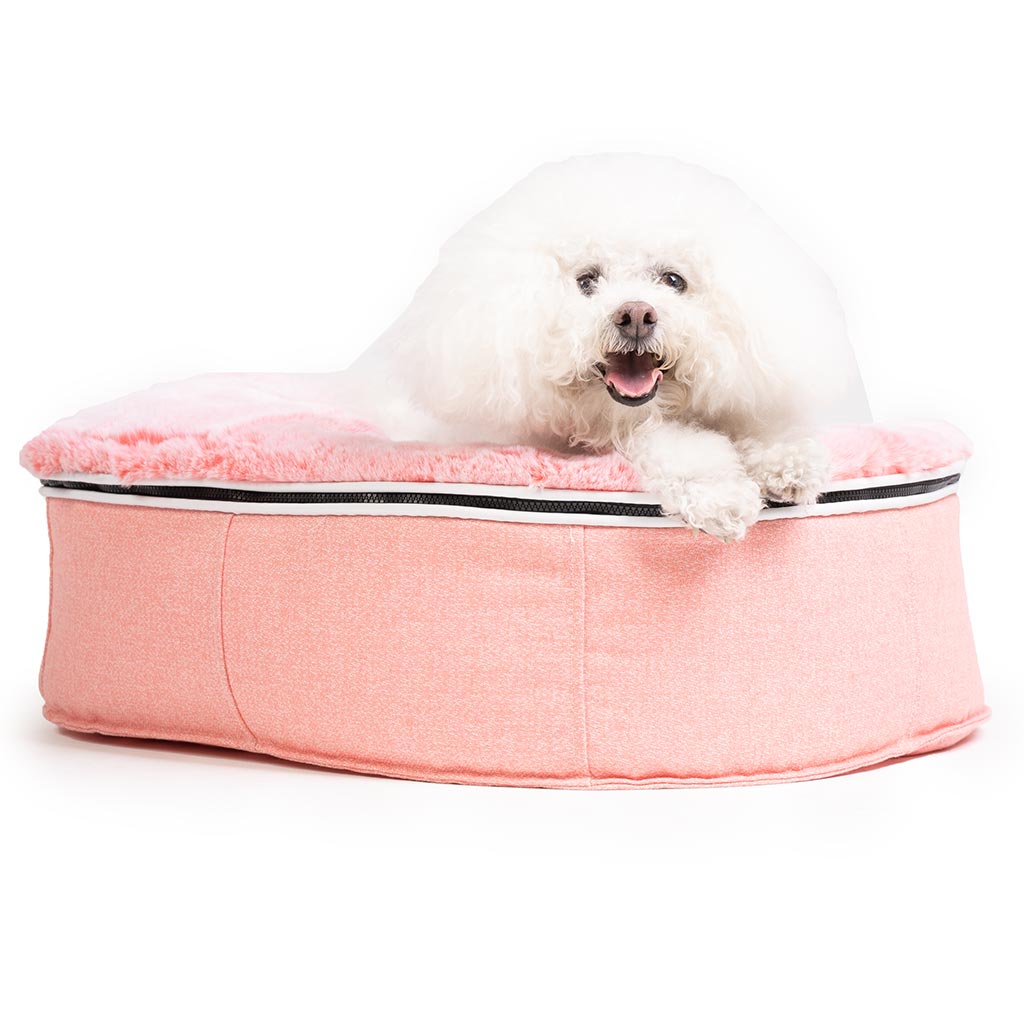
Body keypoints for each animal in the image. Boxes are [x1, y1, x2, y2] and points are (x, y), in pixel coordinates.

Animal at [352, 155, 865, 540]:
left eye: (673, 280)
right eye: (586, 281)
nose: (636, 315)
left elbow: (762, 421)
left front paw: (788, 462)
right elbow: (671, 442)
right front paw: (721, 494)